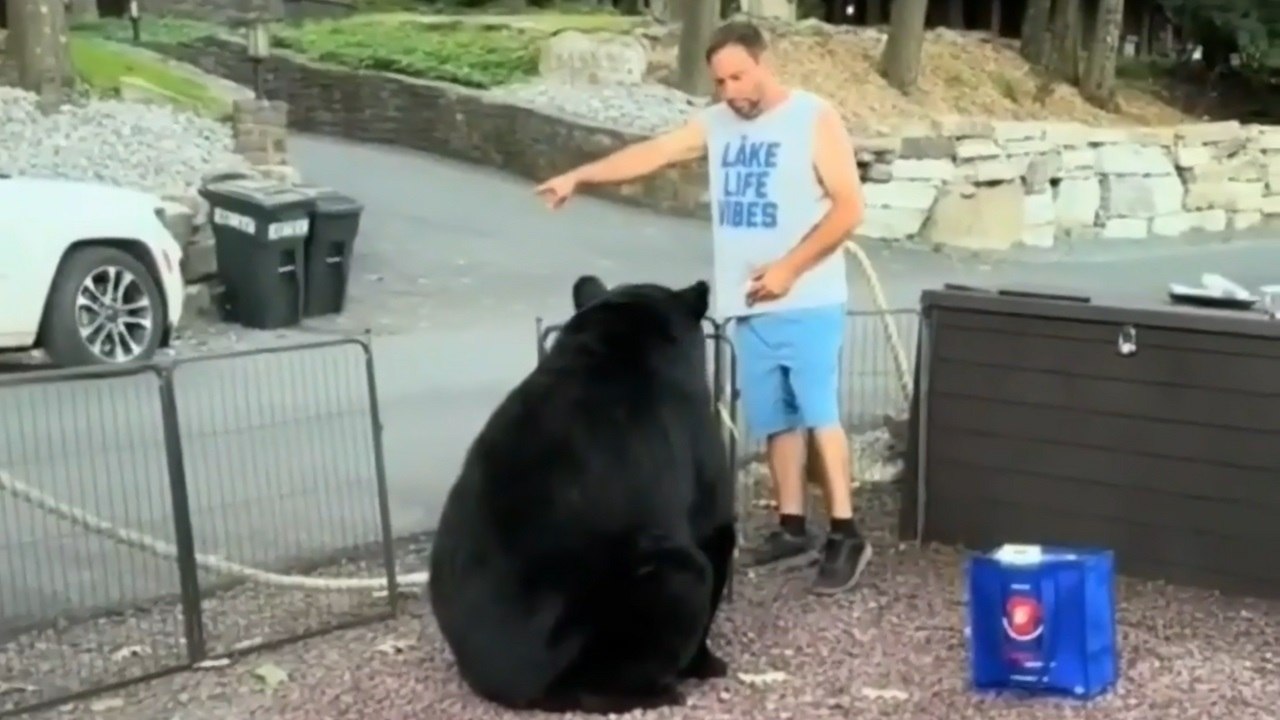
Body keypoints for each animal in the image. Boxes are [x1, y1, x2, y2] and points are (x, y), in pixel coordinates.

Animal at [427, 274, 737, 715]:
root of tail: (506, 684)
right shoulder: (707, 486)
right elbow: (715, 548)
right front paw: (707, 663)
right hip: (666, 580)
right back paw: (661, 691)